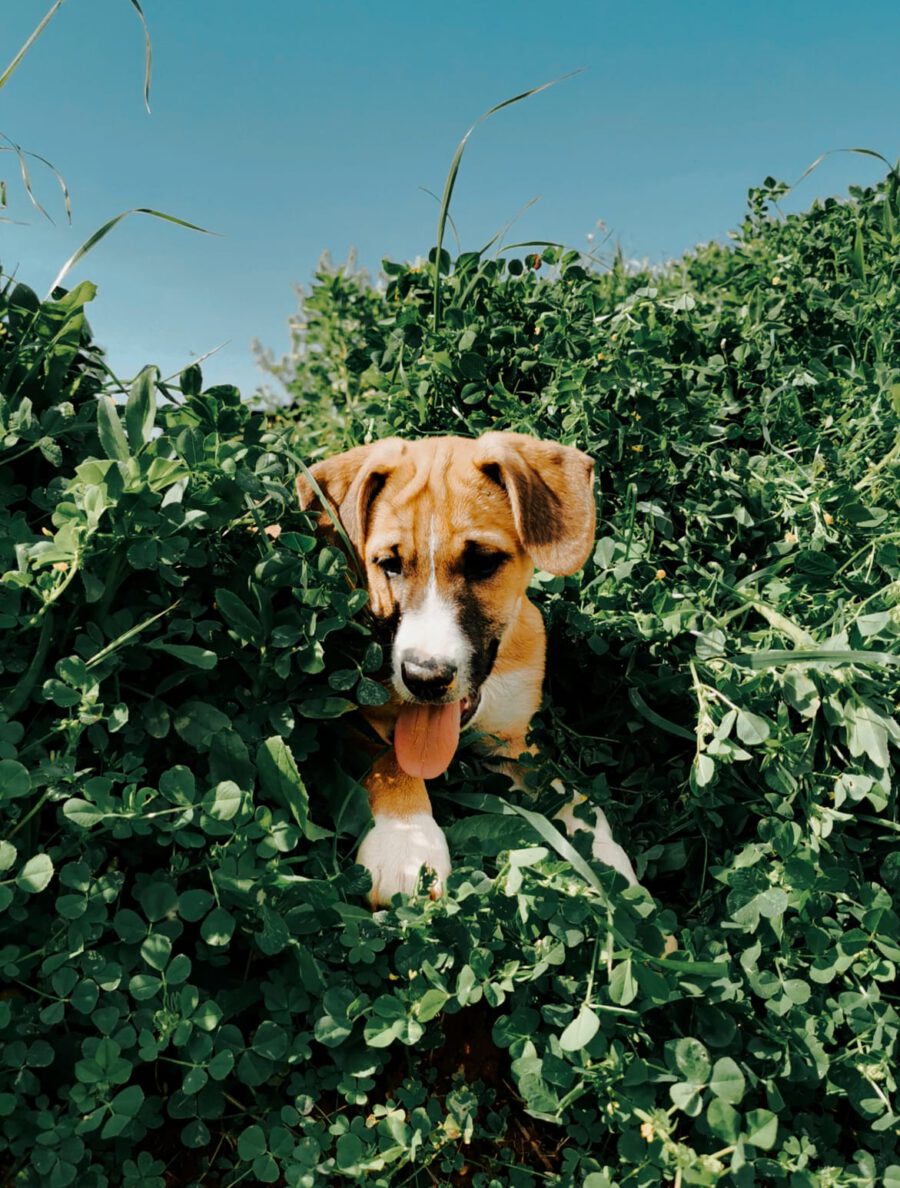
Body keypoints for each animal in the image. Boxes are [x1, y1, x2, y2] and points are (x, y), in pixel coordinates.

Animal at [297, 432, 637, 906]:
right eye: (389, 564)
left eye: (483, 562)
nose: (425, 679)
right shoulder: (349, 717)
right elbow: (390, 758)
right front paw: (406, 843)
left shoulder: (513, 741)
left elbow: (561, 786)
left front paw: (603, 855)